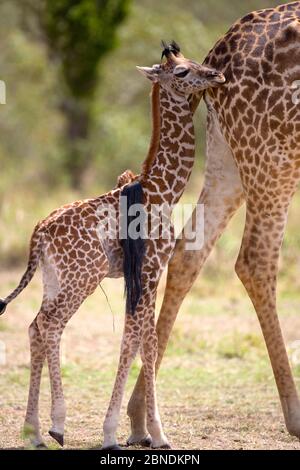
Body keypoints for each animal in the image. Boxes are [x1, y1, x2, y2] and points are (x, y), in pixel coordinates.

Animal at [0, 42, 225, 450]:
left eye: (193, 60)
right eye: (181, 71)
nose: (217, 75)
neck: (163, 192)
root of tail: (39, 232)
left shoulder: (143, 275)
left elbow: (135, 339)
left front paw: (134, 431)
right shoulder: (149, 270)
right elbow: (143, 341)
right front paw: (150, 433)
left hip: (54, 279)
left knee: (35, 326)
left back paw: (34, 432)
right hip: (82, 278)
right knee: (51, 325)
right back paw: (56, 425)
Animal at [127, 1, 300, 446]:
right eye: (179, 71)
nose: (208, 75)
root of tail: (221, 51)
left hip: (230, 156)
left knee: (188, 252)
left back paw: (139, 419)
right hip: (272, 155)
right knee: (255, 259)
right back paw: (295, 416)